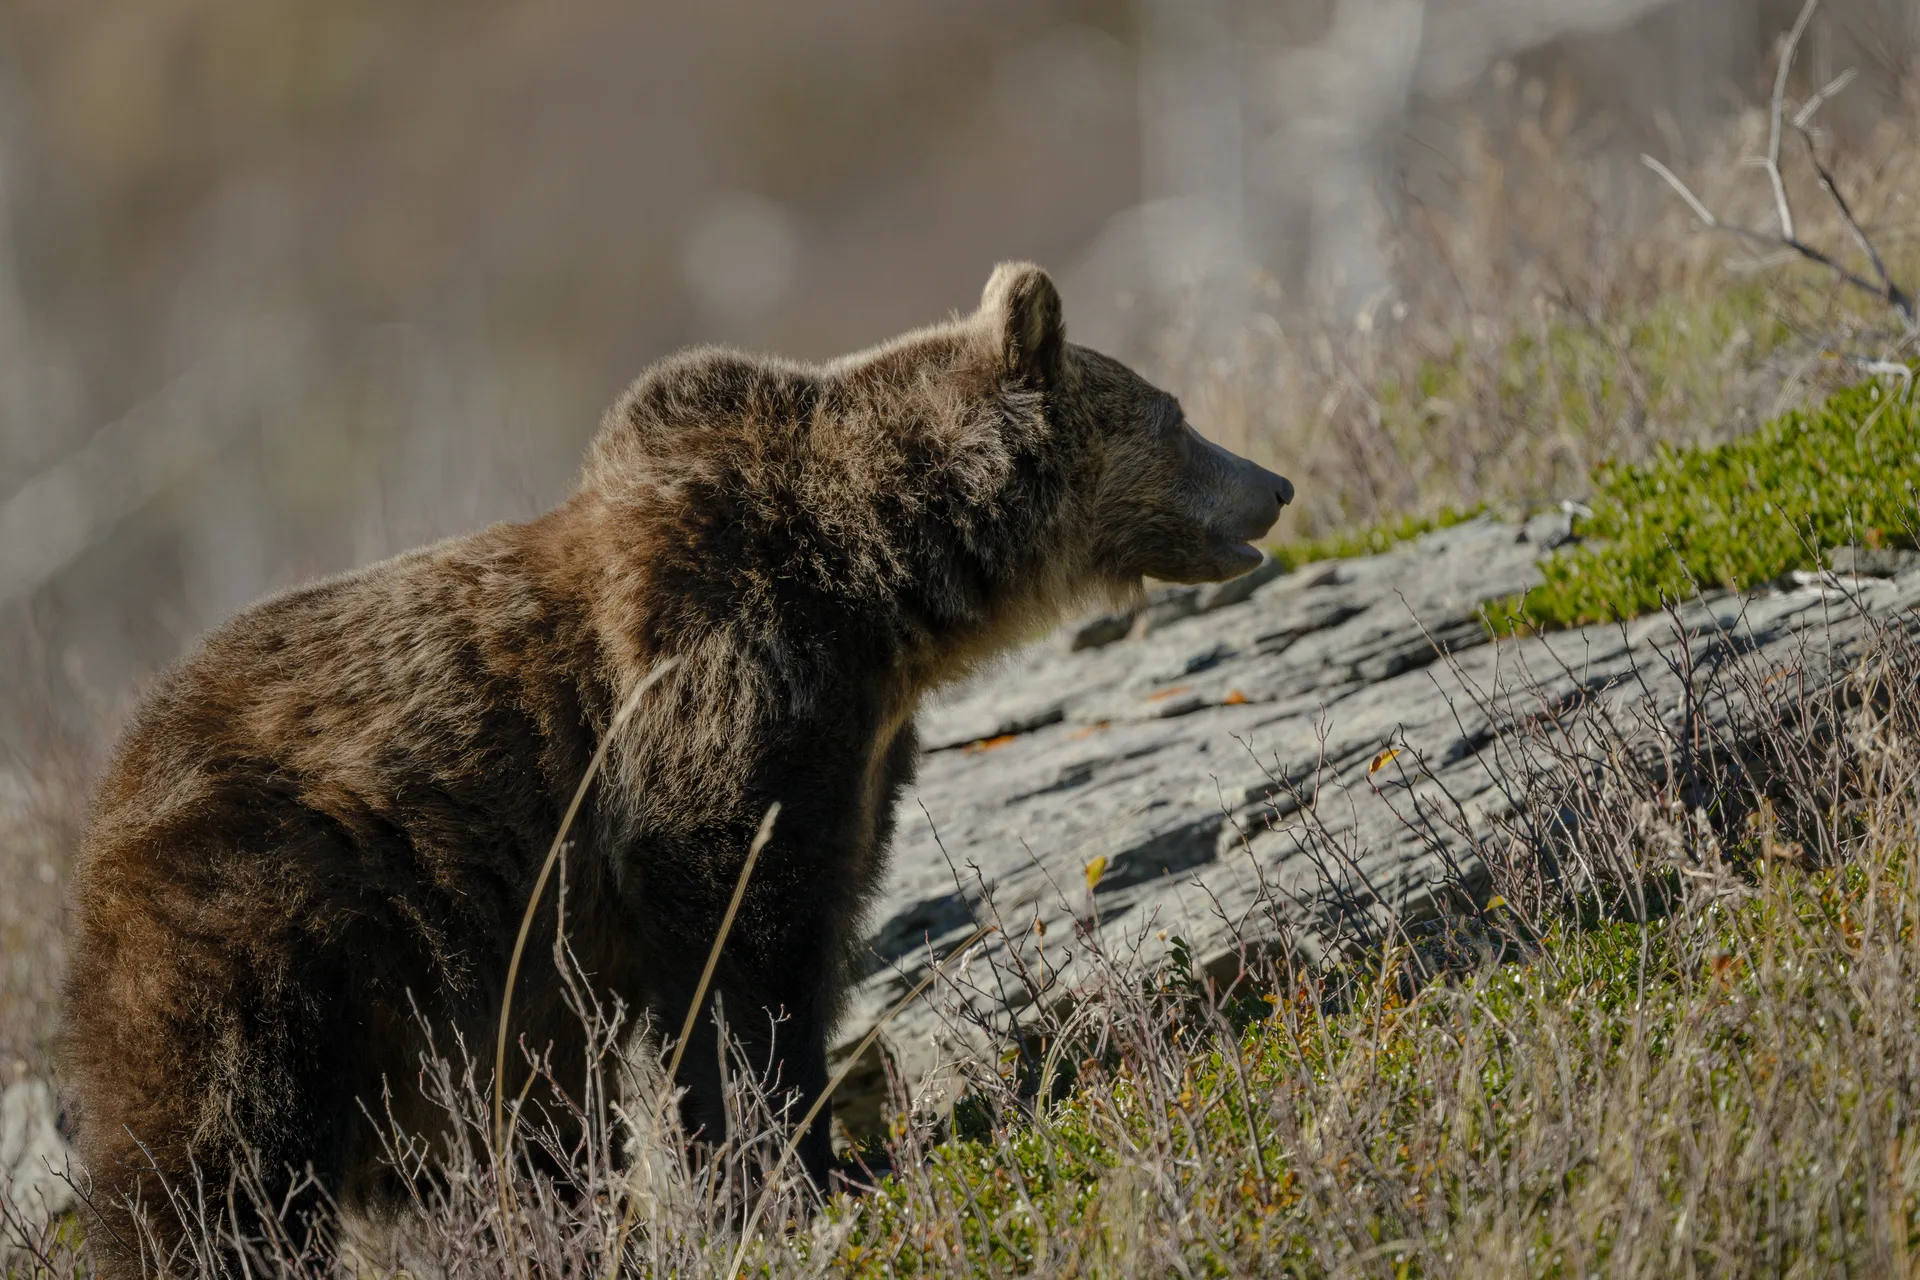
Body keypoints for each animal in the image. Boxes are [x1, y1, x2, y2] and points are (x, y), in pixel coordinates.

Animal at [60, 262, 1292, 1271]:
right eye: (1177, 413)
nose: (1273, 482)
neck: (879, 591)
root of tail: (105, 801)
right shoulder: (720, 699)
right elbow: (740, 954)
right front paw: (787, 1172)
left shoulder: (853, 750)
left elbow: (816, 918)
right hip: (265, 925)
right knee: (222, 1151)